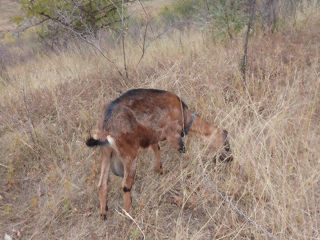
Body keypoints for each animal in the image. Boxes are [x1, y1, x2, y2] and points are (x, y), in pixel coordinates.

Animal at [85, 88, 231, 219]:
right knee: (125, 186)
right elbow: (184, 154)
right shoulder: (174, 136)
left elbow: (157, 149)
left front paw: (159, 170)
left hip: (106, 153)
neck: (183, 114)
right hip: (130, 155)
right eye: (226, 145)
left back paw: (104, 213)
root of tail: (105, 128)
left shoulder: (153, 136)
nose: (230, 159)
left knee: (102, 184)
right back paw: (129, 214)